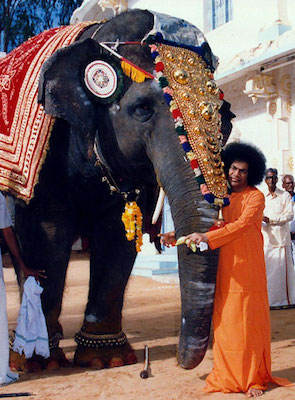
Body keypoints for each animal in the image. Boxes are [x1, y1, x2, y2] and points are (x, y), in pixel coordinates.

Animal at [0, 9, 236, 370]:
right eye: (142, 110)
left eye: (223, 120)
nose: (180, 361)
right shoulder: (43, 159)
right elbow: (46, 238)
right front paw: (40, 361)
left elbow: (116, 239)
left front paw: (106, 358)